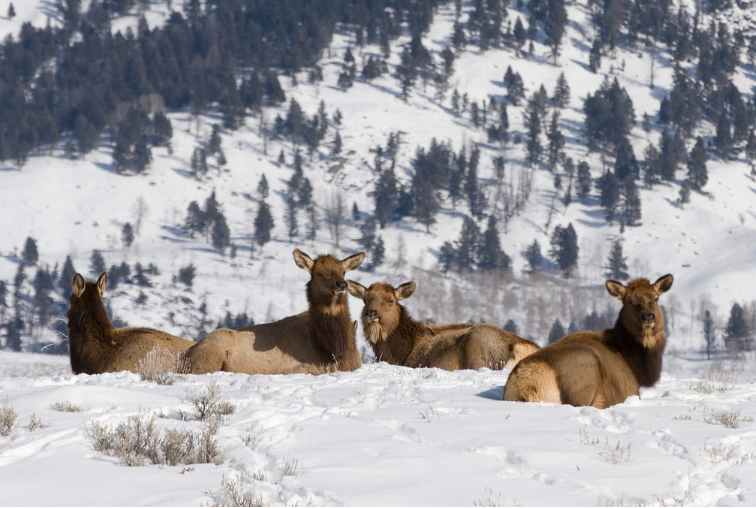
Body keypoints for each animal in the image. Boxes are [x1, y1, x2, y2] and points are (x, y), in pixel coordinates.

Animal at [185, 248, 364, 376]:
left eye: (344, 272)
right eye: (318, 273)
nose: (342, 284)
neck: (333, 349)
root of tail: (187, 353)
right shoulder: (296, 369)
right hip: (210, 355)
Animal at [502, 274, 672, 408]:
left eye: (656, 298)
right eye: (628, 301)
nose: (648, 316)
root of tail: (527, 386)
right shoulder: (631, 392)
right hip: (585, 377)